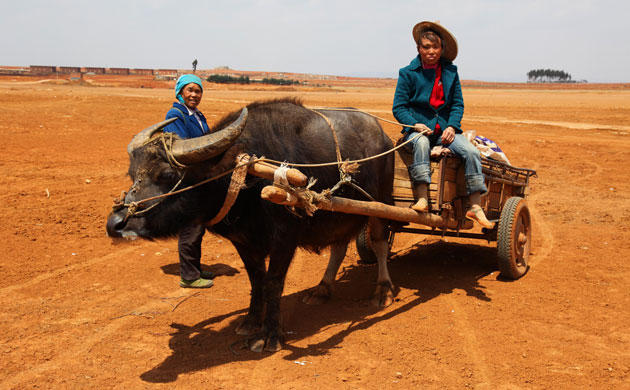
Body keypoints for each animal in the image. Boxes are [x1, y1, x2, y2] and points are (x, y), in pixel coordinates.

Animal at [107, 96, 398, 350]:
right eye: (132, 174)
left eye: (167, 174)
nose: (115, 224)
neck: (247, 176)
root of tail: (384, 137)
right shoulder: (243, 242)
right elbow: (256, 280)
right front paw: (250, 322)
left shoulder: (285, 239)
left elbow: (273, 282)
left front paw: (270, 336)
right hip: (341, 213)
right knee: (339, 247)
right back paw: (322, 289)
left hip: (380, 204)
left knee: (380, 242)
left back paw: (382, 291)